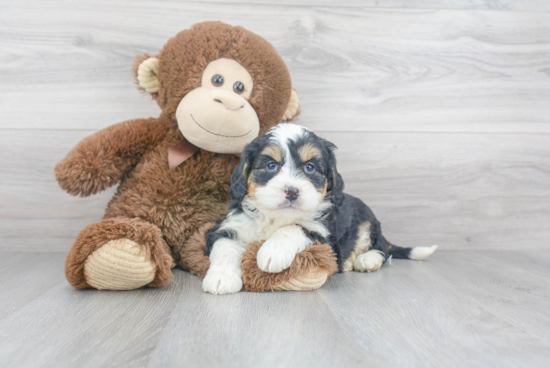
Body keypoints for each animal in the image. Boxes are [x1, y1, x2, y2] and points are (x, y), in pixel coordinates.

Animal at [204, 122, 440, 294]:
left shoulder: (326, 239)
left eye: (310, 167)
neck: (276, 218)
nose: (292, 191)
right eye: (271, 166)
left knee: (383, 248)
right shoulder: (228, 226)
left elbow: (295, 228)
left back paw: (366, 260)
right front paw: (221, 278)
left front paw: (272, 252)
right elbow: (224, 245)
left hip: (367, 222)